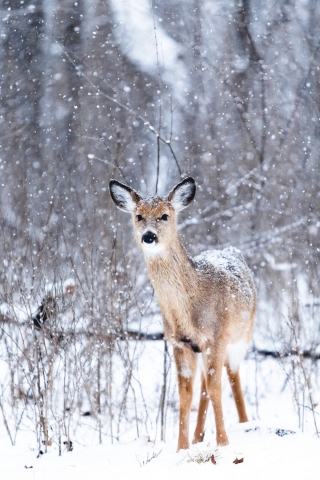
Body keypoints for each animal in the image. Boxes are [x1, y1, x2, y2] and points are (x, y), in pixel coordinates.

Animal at [109, 176, 256, 450]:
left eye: (165, 215)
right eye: (139, 216)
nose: (148, 236)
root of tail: (233, 250)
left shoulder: (216, 336)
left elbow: (217, 387)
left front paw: (223, 443)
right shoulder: (180, 342)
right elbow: (185, 394)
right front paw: (182, 448)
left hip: (242, 336)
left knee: (232, 377)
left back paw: (245, 424)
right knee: (204, 387)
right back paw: (199, 436)